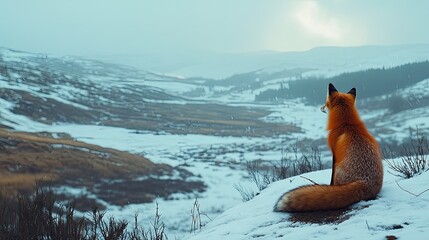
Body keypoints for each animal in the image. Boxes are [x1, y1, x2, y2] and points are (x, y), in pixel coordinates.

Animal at [272, 83, 382, 212]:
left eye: (325, 102)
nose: (321, 108)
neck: (347, 124)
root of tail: (363, 183)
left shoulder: (334, 154)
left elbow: (331, 178)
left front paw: (329, 186)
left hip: (339, 170)